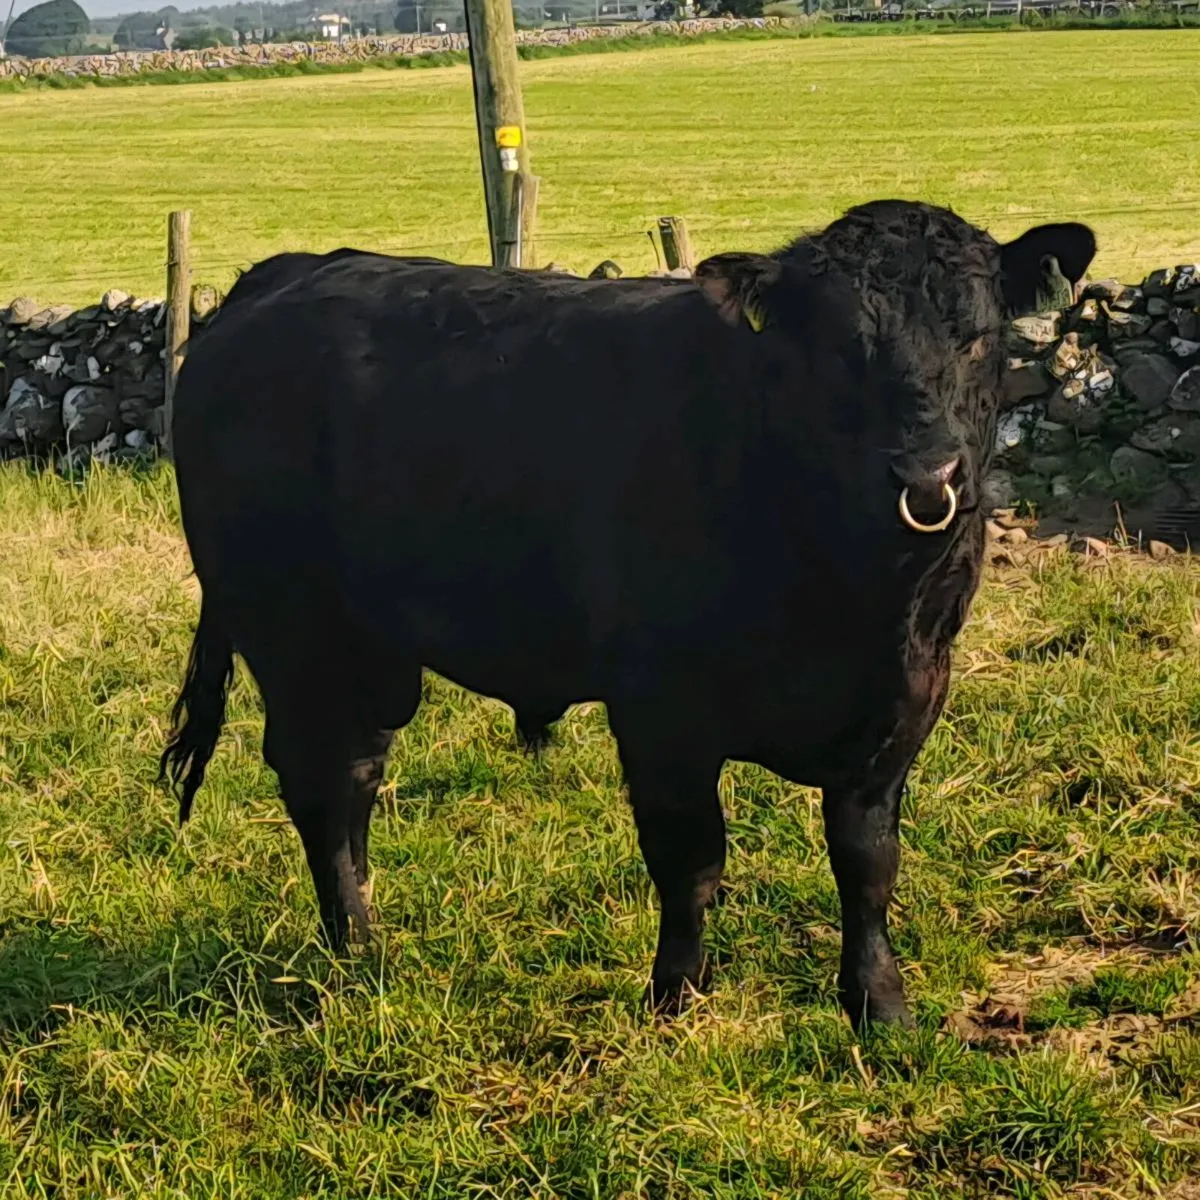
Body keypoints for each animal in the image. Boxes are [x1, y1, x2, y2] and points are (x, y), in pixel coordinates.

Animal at [160, 201, 1095, 1028]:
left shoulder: (907, 697)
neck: (852, 588)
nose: (927, 476)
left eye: (978, 335)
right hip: (294, 634)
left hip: (370, 652)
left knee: (356, 773)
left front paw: (881, 1009)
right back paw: (355, 946)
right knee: (320, 779)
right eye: (838, 348)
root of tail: (290, 273)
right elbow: (690, 861)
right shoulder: (660, 710)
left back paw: (367, 938)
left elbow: (866, 862)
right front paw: (675, 999)